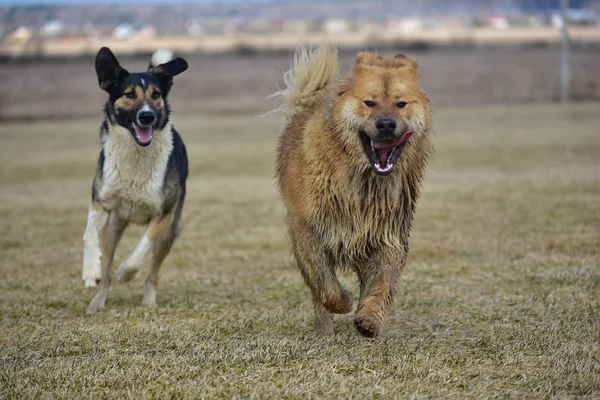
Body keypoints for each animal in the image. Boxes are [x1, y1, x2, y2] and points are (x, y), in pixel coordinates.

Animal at [81, 47, 186, 314]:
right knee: (106, 269)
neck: (137, 152)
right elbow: (88, 234)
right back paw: (97, 301)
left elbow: (142, 250)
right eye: (129, 94)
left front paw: (126, 273)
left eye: (156, 94)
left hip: (170, 233)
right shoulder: (100, 203)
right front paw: (90, 272)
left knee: (153, 271)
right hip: (113, 228)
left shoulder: (163, 215)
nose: (146, 116)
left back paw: (148, 300)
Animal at [272, 44, 432, 338]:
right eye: (369, 102)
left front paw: (368, 319)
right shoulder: (310, 231)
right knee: (317, 292)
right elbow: (325, 284)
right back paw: (323, 330)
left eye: (401, 103)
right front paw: (343, 302)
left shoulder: (387, 234)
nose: (386, 124)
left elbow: (382, 282)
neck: (363, 180)